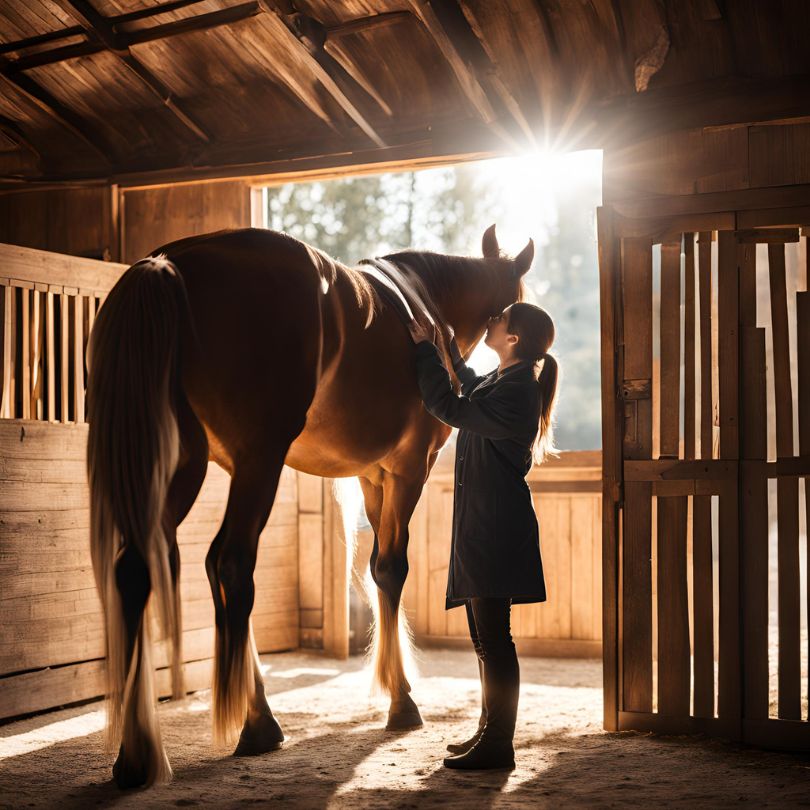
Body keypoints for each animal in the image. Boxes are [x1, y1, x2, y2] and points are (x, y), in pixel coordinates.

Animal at [87, 224, 532, 784]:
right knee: (230, 563)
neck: (428, 306)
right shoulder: (408, 470)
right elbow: (391, 570)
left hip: (179, 464)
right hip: (258, 461)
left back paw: (138, 753)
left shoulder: (372, 476)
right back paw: (255, 724)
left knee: (140, 571)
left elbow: (375, 569)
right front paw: (400, 701)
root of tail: (168, 264)